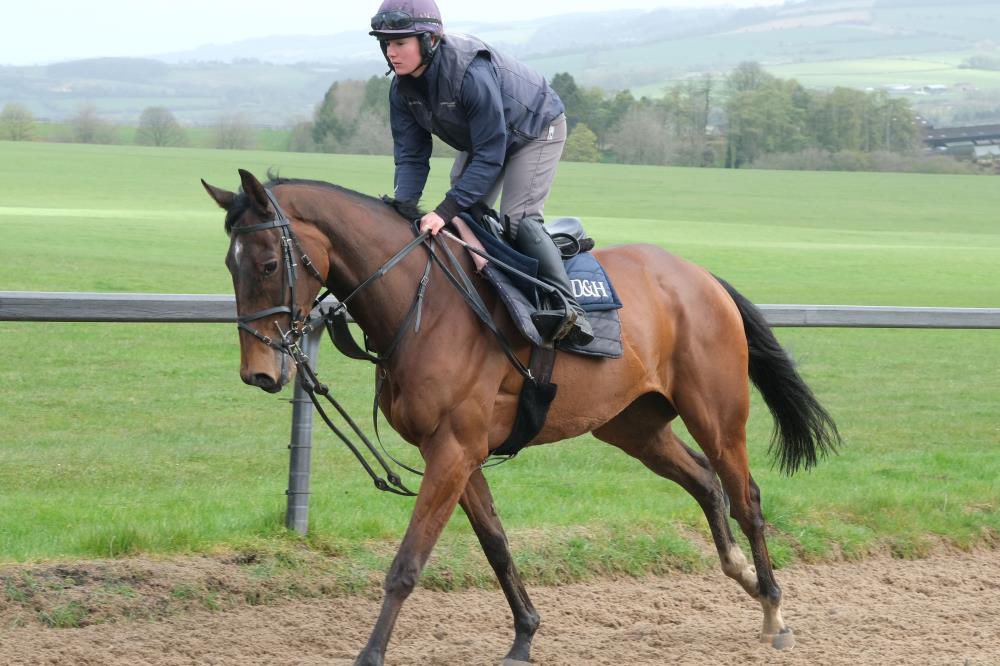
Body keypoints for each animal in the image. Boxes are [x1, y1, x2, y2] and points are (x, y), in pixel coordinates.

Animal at [201, 170, 836, 664]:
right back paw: (744, 576)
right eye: (229, 266)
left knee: (746, 495)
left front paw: (370, 654)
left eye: (266, 263)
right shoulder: (458, 453)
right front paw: (525, 637)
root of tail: (701, 277)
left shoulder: (454, 449)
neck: (422, 303)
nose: (259, 372)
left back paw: (774, 609)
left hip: (718, 413)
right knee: (706, 481)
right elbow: (497, 544)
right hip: (633, 425)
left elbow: (407, 562)